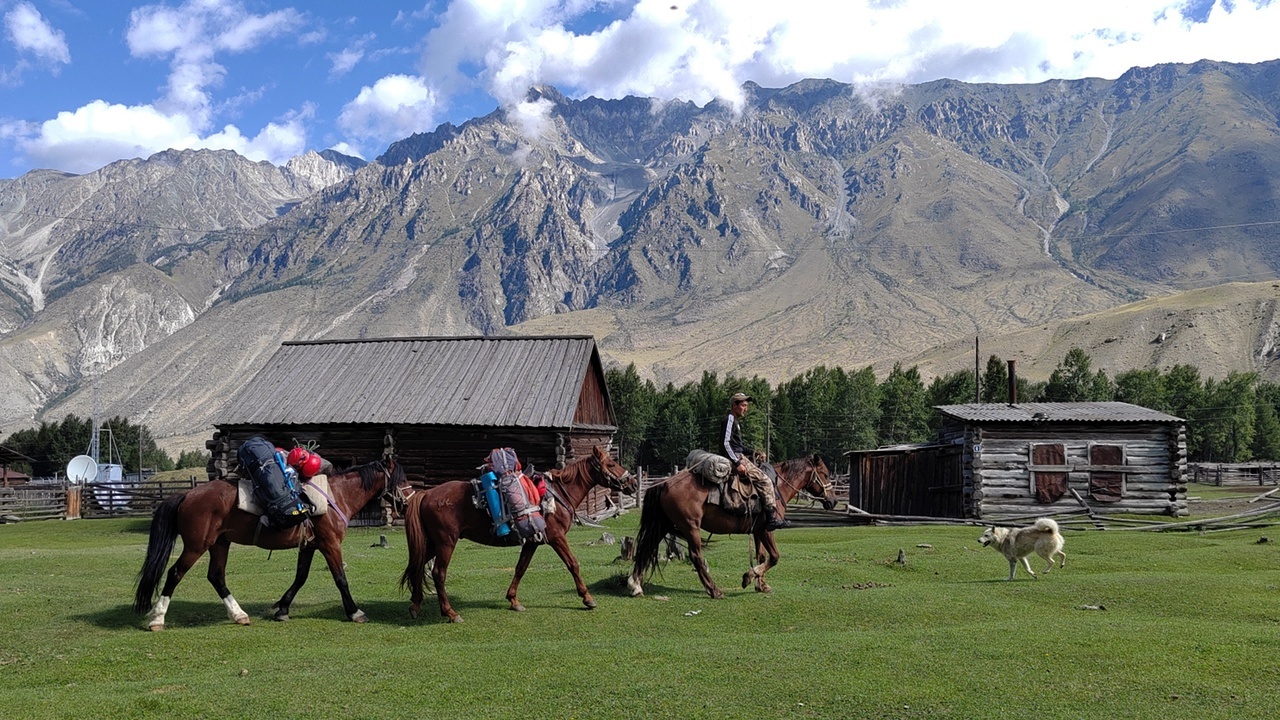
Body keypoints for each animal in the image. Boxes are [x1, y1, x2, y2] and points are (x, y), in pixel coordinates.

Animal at [134, 453, 404, 627]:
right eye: (401, 478)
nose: (407, 500)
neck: (335, 496)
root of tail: (187, 494)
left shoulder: (309, 546)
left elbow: (300, 577)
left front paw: (282, 608)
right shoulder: (330, 545)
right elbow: (340, 579)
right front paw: (354, 612)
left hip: (219, 544)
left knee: (216, 576)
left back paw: (239, 615)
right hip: (196, 546)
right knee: (175, 573)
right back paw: (158, 617)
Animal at [399, 440, 634, 620]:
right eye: (611, 463)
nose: (631, 483)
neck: (558, 493)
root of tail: (427, 494)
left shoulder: (532, 542)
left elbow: (520, 568)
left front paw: (513, 600)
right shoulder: (556, 538)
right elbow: (573, 564)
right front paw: (587, 598)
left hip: (433, 543)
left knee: (418, 566)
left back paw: (415, 605)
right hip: (446, 542)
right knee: (438, 573)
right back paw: (450, 613)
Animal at [627, 453, 839, 599]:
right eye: (826, 474)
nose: (833, 501)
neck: (775, 488)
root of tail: (664, 483)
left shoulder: (757, 531)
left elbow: (762, 556)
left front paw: (761, 585)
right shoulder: (767, 529)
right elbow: (774, 557)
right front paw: (749, 577)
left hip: (663, 524)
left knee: (646, 548)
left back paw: (635, 585)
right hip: (690, 527)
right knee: (696, 557)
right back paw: (715, 591)